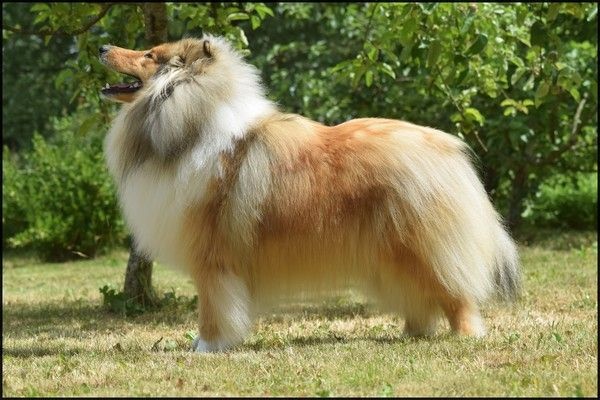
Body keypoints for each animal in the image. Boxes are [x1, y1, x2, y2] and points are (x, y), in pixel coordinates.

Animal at [99, 35, 520, 352]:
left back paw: (465, 335)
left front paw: (206, 346)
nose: (102, 46)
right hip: (392, 254)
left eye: (150, 55)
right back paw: (411, 333)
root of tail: (450, 150)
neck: (191, 125)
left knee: (455, 293)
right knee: (419, 297)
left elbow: (213, 308)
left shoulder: (213, 258)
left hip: (421, 246)